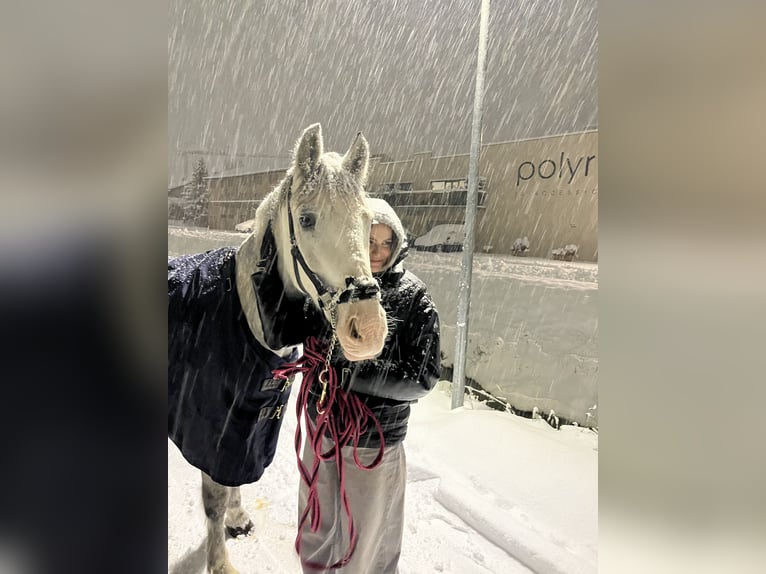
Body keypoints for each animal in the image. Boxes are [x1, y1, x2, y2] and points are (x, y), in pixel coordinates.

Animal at [171, 125, 388, 574]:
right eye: (306, 219)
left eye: (365, 220)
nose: (369, 329)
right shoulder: (211, 429)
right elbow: (213, 498)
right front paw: (219, 562)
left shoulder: (248, 425)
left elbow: (235, 478)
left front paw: (238, 518)